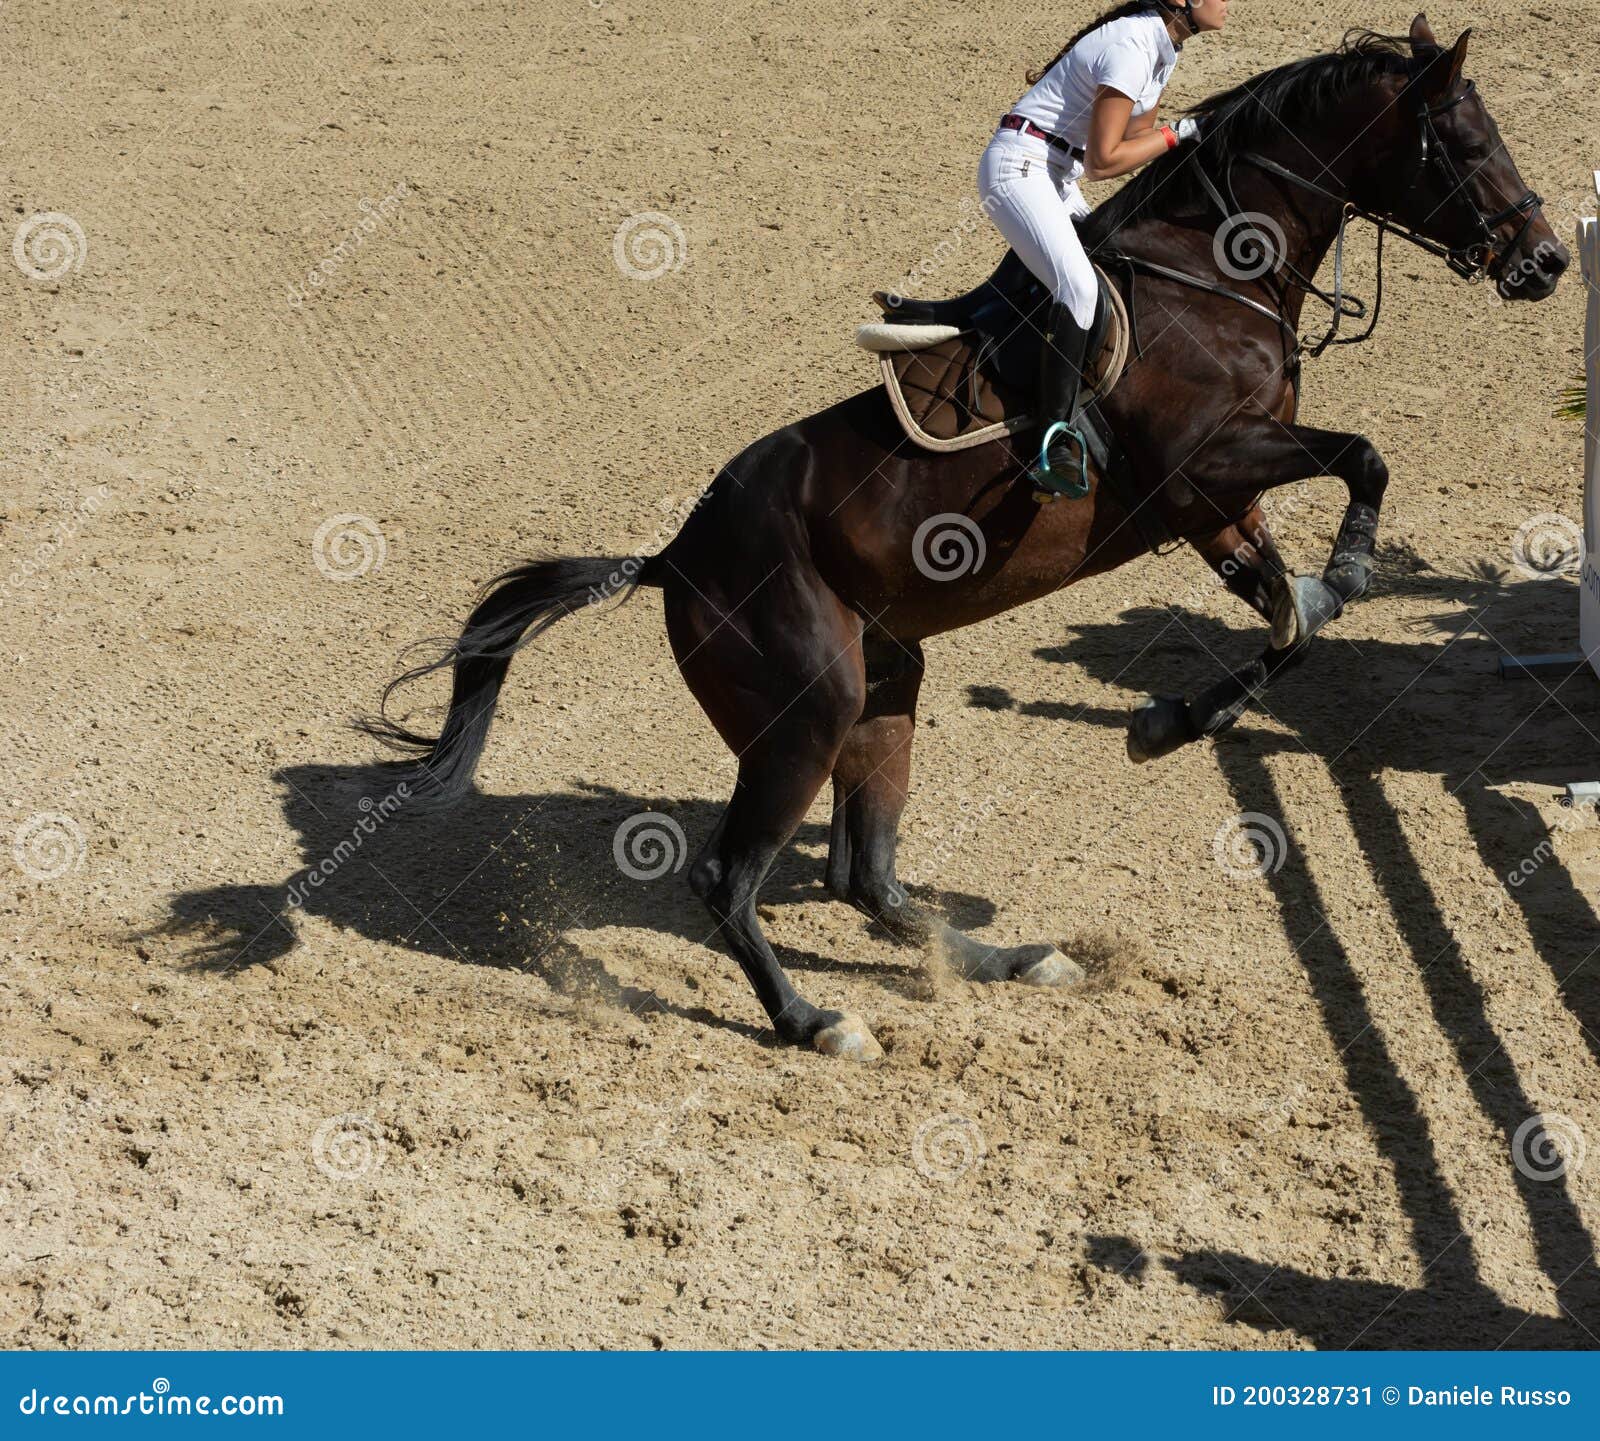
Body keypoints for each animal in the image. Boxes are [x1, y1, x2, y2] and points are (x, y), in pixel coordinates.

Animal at [371, 16, 1561, 1055]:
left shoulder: (1219, 507)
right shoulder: (1205, 468)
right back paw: (814, 1021)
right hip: (807, 711)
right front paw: (1339, 573)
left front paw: (1167, 721)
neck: (1216, 271)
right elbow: (1363, 464)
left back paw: (1015, 959)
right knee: (728, 879)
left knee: (866, 877)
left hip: (885, 685)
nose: (1546, 261)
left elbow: (1289, 621)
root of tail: (675, 556)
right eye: (1465, 143)